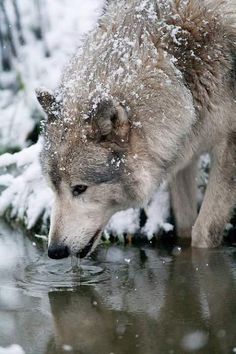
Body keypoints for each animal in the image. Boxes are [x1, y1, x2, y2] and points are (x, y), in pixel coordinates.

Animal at [36, 0, 236, 260]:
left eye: (79, 188)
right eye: (53, 188)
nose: (54, 251)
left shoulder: (228, 145)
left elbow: (203, 231)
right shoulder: (184, 148)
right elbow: (184, 226)